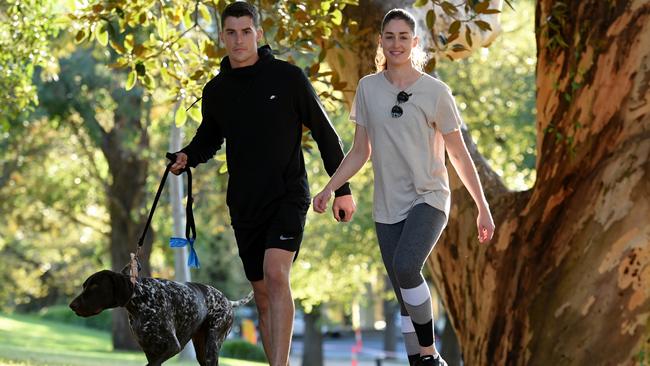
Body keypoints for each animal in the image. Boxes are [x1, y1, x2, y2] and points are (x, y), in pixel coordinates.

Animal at [69, 270, 252, 364]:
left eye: (95, 286)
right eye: (84, 286)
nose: (72, 305)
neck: (141, 299)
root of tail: (227, 300)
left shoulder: (172, 346)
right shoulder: (149, 348)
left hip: (212, 346)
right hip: (201, 349)